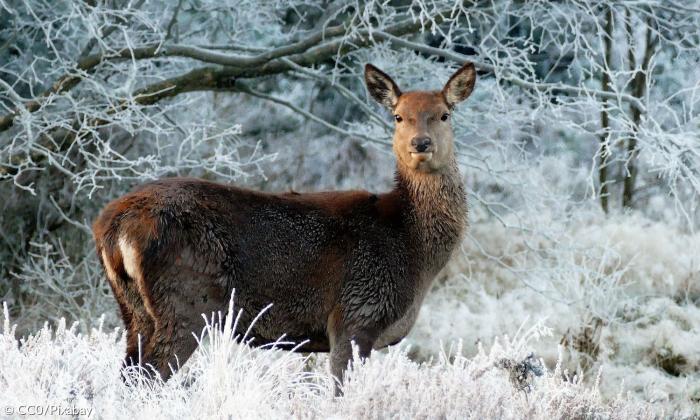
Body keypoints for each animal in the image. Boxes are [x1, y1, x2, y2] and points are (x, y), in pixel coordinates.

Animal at [92, 62, 476, 393]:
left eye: (444, 114)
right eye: (398, 116)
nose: (420, 144)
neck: (411, 246)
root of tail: (112, 226)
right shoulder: (356, 314)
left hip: (134, 310)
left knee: (127, 375)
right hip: (186, 301)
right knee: (147, 378)